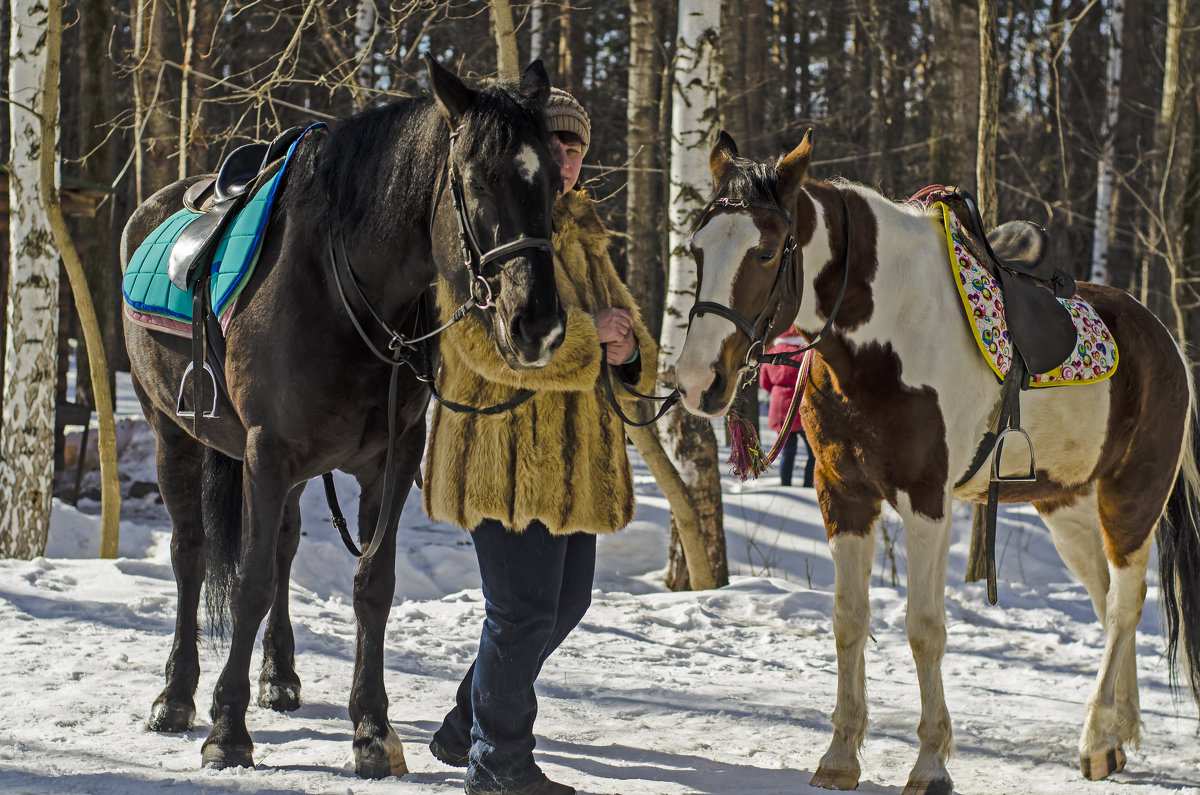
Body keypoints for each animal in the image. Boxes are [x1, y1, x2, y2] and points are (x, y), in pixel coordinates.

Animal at [119, 59, 559, 782]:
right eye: (474, 181)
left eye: (551, 176)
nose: (537, 323)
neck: (339, 285)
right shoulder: (266, 453)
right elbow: (249, 581)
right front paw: (227, 731)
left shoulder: (390, 460)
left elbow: (371, 585)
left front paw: (371, 730)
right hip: (171, 434)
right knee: (190, 555)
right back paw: (176, 696)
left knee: (285, 547)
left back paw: (280, 676)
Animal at [676, 127, 1200, 792]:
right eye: (696, 250)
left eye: (767, 252)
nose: (697, 382)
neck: (886, 335)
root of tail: (1166, 341)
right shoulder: (842, 494)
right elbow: (849, 620)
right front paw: (840, 755)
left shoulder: (926, 500)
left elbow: (924, 630)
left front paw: (930, 763)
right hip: (1068, 508)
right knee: (1110, 605)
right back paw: (1120, 731)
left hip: (1131, 499)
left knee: (1127, 601)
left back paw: (1097, 740)